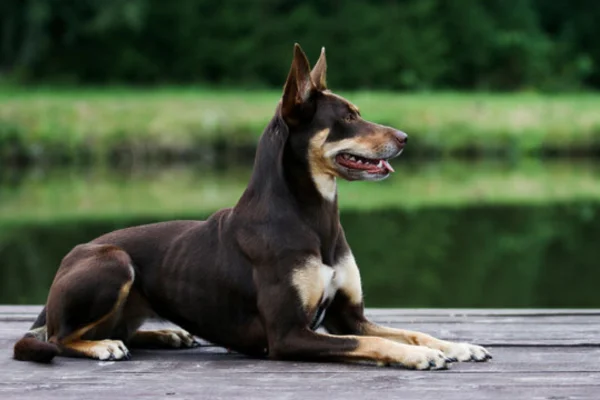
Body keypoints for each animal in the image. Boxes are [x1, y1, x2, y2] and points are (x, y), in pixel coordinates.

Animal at [12, 43, 492, 368]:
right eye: (348, 117)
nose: (406, 138)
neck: (312, 216)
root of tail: (68, 260)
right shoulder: (288, 335)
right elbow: (376, 342)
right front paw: (415, 357)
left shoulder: (348, 318)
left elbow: (411, 331)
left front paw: (457, 345)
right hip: (114, 262)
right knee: (57, 337)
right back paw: (102, 346)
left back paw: (167, 336)